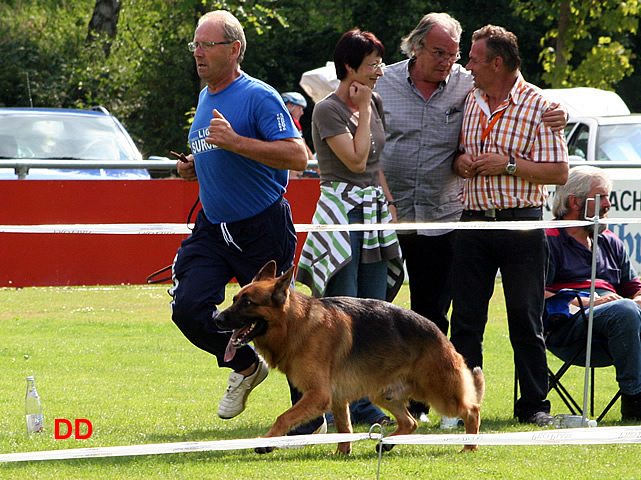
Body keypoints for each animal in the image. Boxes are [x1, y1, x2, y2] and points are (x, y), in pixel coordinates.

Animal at [214, 262, 480, 454]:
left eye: (248, 303)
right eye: (234, 299)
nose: (217, 319)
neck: (296, 323)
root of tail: (439, 334)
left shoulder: (319, 395)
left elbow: (284, 417)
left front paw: (267, 442)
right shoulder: (337, 397)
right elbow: (345, 428)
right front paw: (342, 453)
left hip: (439, 394)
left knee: (472, 409)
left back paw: (470, 445)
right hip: (383, 393)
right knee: (410, 423)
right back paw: (387, 443)